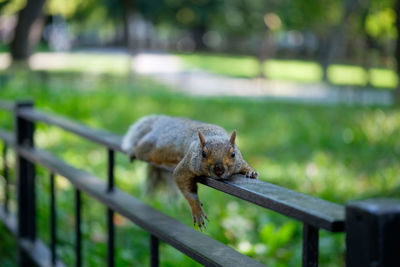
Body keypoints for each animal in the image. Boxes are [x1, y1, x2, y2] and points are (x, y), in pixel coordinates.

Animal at [122, 115, 258, 230]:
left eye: (233, 154)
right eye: (203, 154)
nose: (219, 170)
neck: (214, 136)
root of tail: (162, 124)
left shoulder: (239, 161)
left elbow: (244, 164)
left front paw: (251, 172)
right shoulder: (188, 164)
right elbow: (183, 181)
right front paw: (196, 208)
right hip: (150, 146)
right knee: (140, 148)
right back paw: (134, 151)